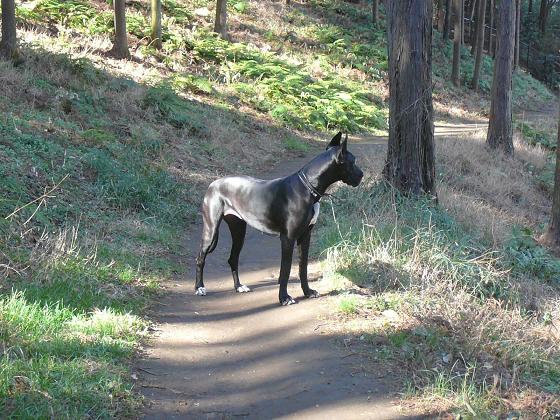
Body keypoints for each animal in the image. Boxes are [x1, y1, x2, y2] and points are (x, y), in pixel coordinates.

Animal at [195, 132, 366, 306]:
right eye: (353, 162)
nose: (362, 175)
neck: (308, 188)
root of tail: (213, 183)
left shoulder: (305, 236)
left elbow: (303, 267)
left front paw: (307, 292)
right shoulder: (288, 238)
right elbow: (286, 269)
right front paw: (284, 297)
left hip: (238, 230)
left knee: (233, 258)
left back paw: (239, 286)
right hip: (211, 229)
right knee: (200, 258)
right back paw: (200, 287)